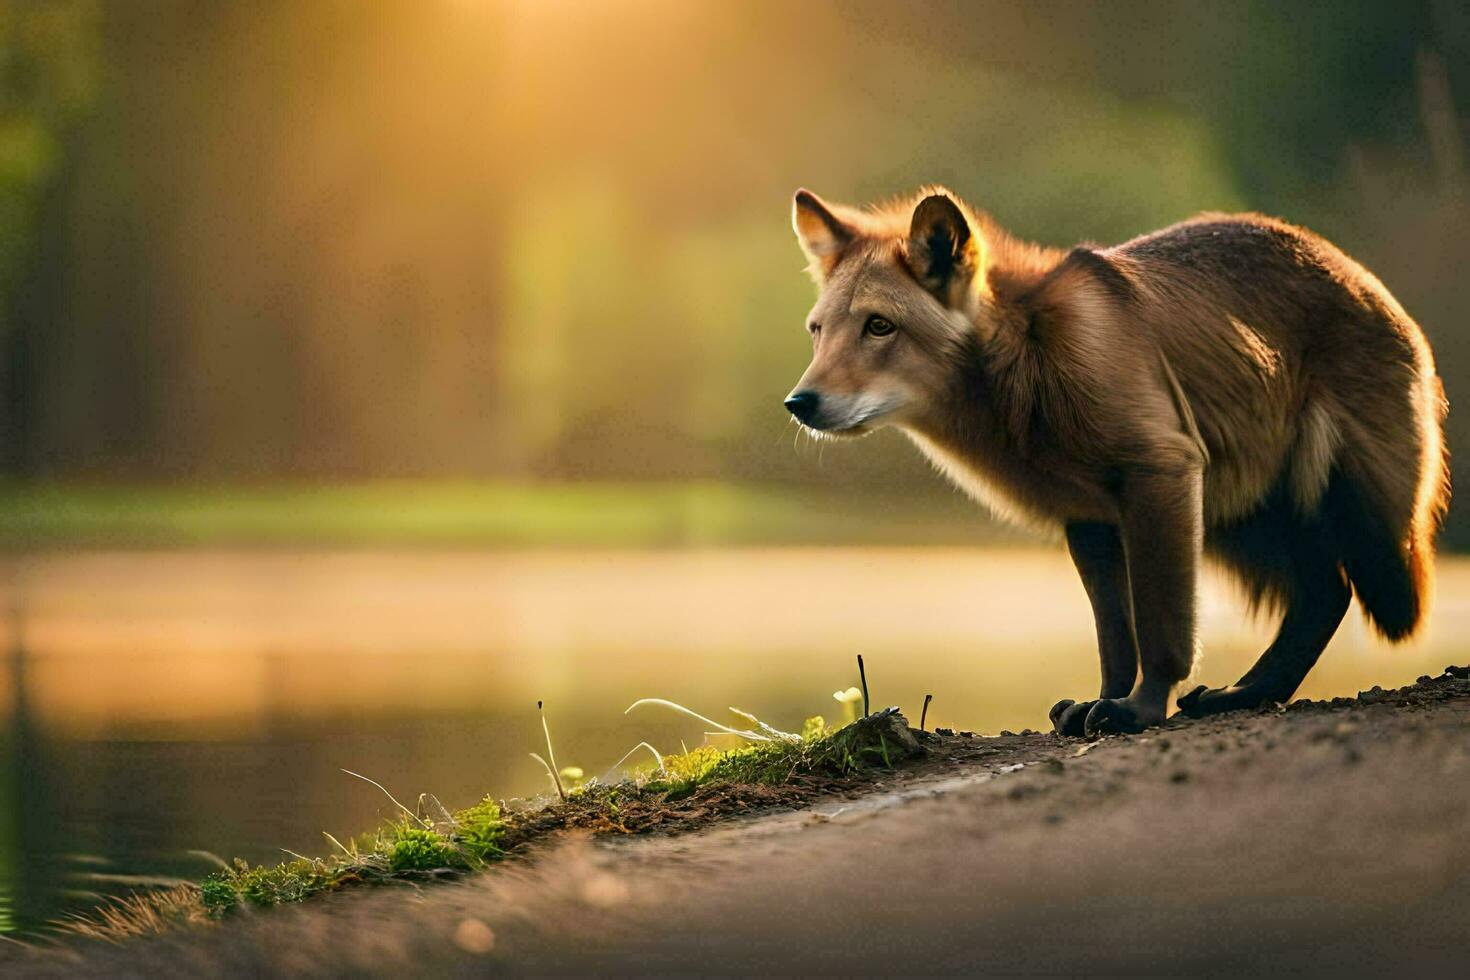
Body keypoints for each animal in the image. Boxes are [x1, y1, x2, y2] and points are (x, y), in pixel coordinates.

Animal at [787, 185, 1452, 734]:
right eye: (818, 331)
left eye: (879, 326)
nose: (799, 403)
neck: (1032, 362)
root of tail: (1361, 275)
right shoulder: (1089, 517)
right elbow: (1115, 639)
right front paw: (1104, 700)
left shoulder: (1161, 476)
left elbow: (1160, 630)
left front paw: (1139, 711)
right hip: (1248, 519)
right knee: (1325, 594)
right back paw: (1247, 694)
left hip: (1340, 523)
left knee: (1336, 590)